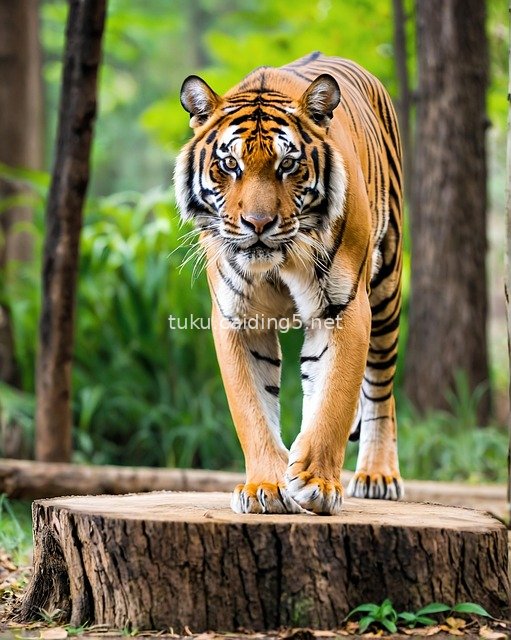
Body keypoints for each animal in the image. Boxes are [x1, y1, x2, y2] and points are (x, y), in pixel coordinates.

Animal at [174, 51, 403, 515]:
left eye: (288, 165)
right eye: (230, 164)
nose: (258, 223)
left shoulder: (343, 309)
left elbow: (334, 398)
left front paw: (316, 483)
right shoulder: (238, 318)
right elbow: (252, 407)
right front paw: (265, 485)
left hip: (387, 285)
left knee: (379, 387)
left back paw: (377, 475)